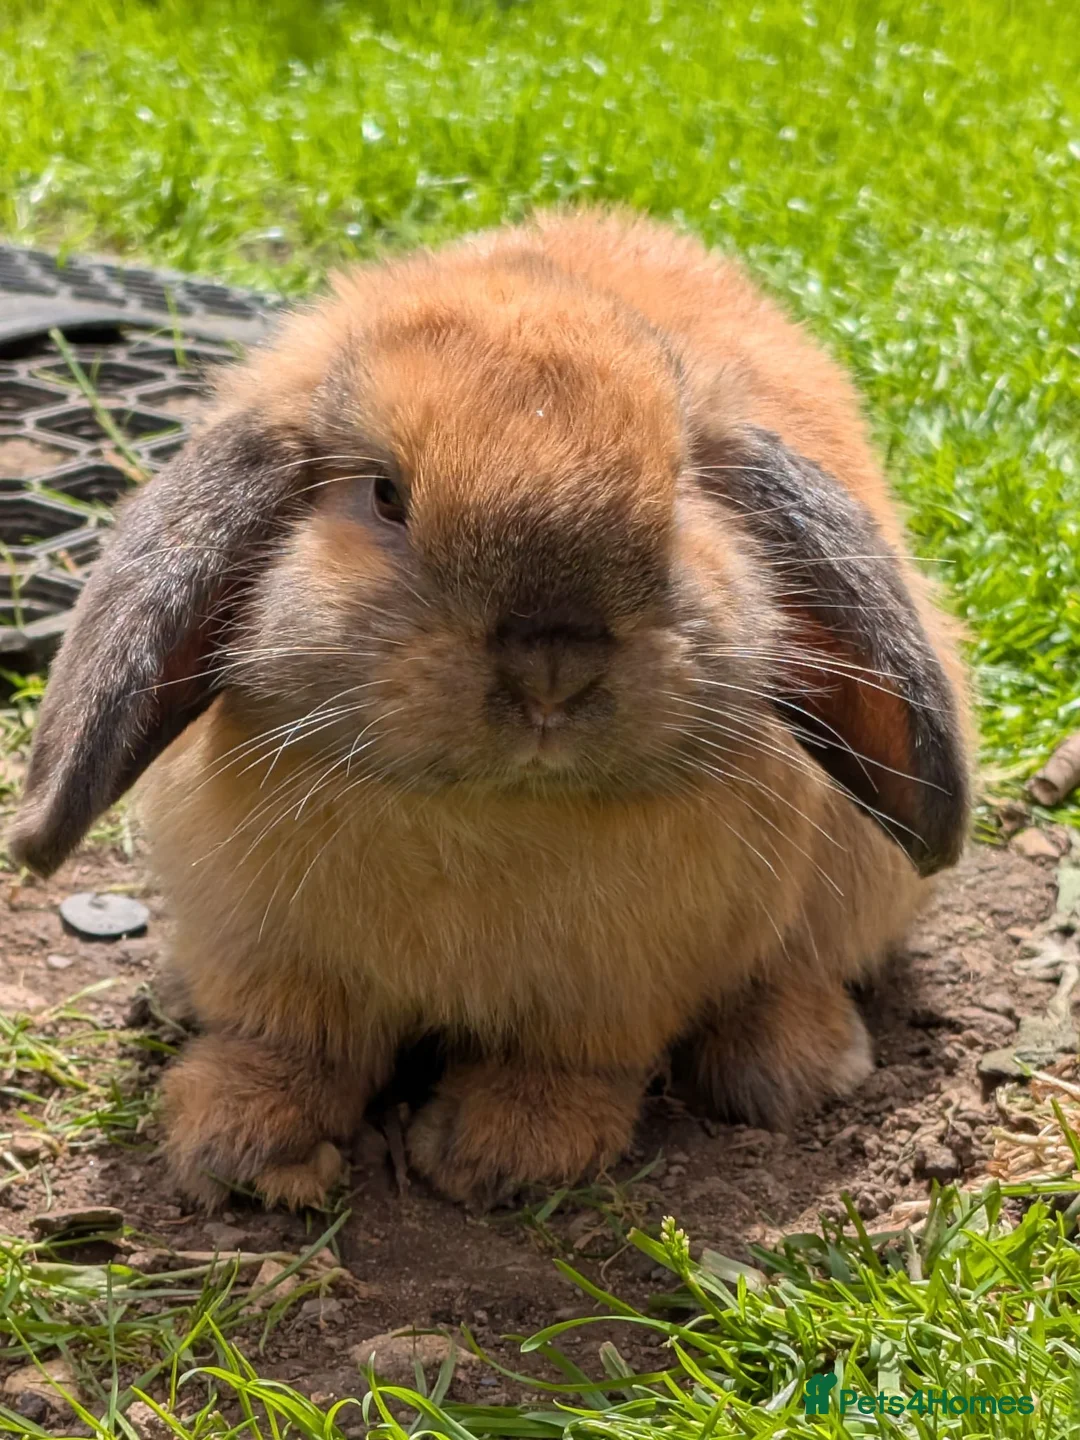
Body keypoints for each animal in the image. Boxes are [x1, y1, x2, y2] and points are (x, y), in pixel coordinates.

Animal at [8, 209, 972, 1211]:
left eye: (678, 499)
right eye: (385, 496)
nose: (551, 661)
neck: (497, 810)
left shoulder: (619, 989)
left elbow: (569, 1064)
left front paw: (502, 1150)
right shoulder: (274, 957)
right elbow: (293, 1044)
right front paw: (243, 1144)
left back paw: (797, 1062)